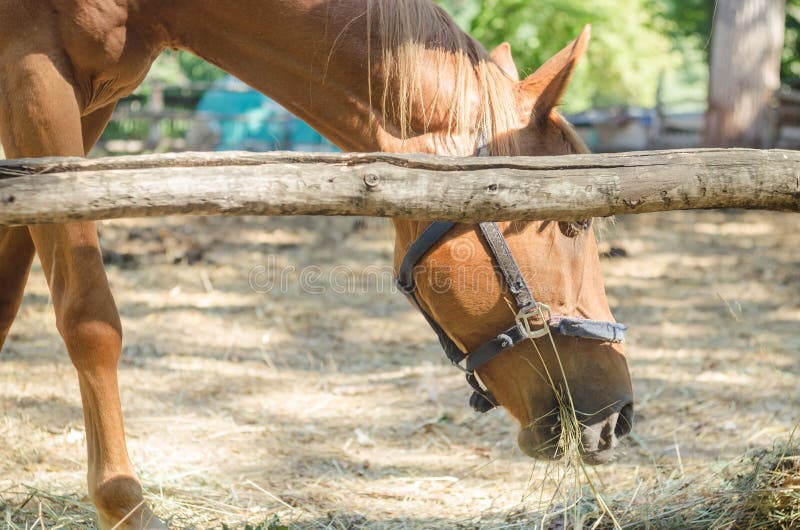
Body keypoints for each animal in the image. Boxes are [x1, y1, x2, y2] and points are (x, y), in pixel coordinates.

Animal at [0, 1, 633, 528]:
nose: (618, 417)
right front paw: (124, 506)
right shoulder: (36, 72)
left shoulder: (84, 103)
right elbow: (90, 320)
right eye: (575, 223)